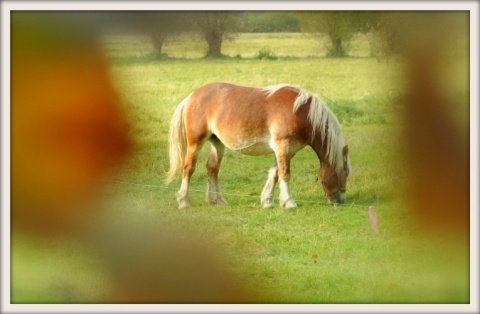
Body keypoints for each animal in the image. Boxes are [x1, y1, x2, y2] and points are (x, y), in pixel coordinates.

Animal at [167, 81, 350, 209]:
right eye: (346, 174)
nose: (340, 201)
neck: (301, 113)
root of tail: (192, 96)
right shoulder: (283, 147)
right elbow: (285, 174)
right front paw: (289, 202)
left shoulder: (286, 151)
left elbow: (275, 173)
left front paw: (268, 201)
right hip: (195, 143)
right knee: (188, 168)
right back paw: (183, 201)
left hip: (217, 143)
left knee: (212, 169)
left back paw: (217, 200)